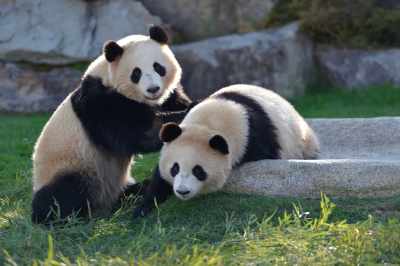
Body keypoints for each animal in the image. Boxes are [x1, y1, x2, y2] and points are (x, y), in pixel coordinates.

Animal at [30, 25, 191, 224]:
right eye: (136, 73)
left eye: (158, 67)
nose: (153, 89)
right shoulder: (102, 102)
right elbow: (142, 135)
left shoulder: (167, 98)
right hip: (66, 165)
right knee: (67, 190)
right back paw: (62, 217)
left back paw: (137, 191)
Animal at [131, 84, 318, 219]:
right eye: (175, 168)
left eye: (198, 171)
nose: (183, 191)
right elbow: (159, 177)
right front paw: (142, 209)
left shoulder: (255, 141)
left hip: (302, 142)